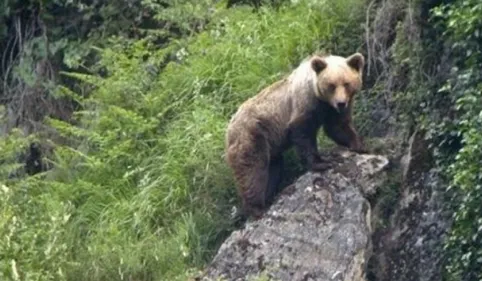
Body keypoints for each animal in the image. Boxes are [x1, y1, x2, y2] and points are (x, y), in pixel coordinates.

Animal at [224, 52, 368, 219]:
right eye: (331, 85)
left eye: (346, 83)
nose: (341, 103)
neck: (320, 98)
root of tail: (229, 127)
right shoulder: (304, 104)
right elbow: (303, 133)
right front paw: (322, 163)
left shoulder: (331, 110)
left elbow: (338, 126)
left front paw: (359, 145)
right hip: (252, 135)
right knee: (253, 170)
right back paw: (257, 208)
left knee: (273, 168)